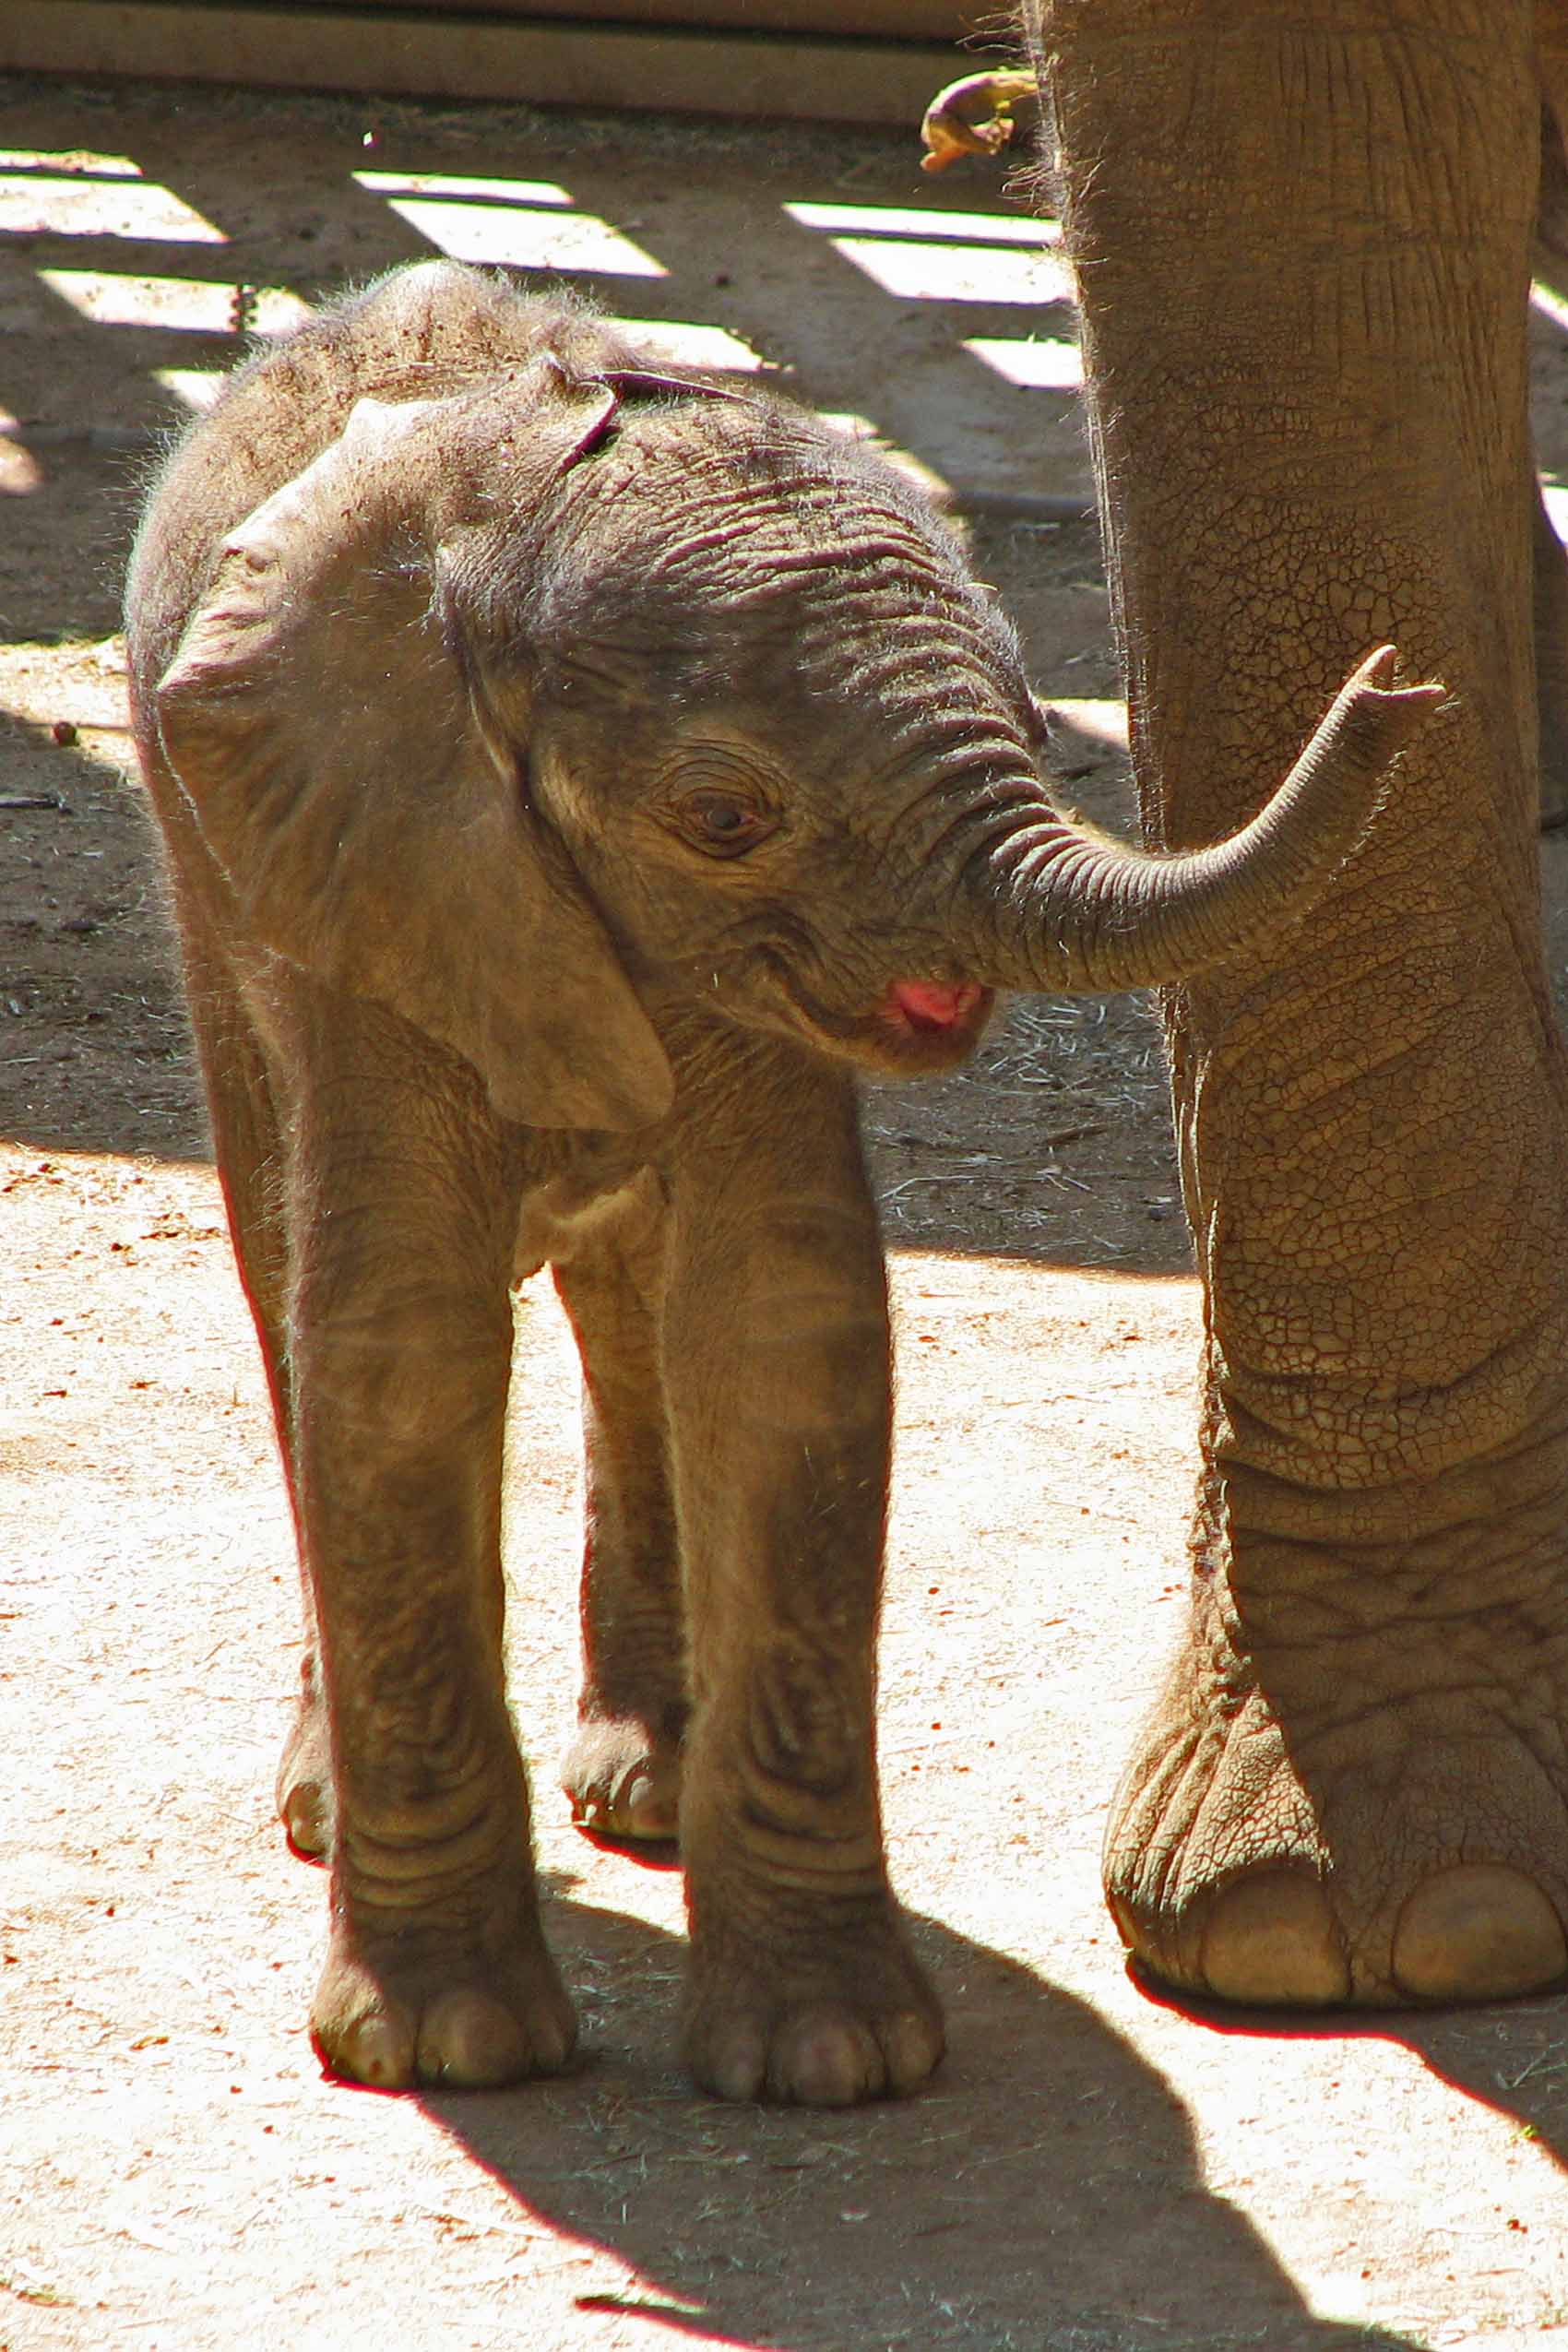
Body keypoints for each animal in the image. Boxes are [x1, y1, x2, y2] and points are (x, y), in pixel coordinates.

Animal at [128, 262, 1438, 2117]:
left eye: (1036, 713)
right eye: (724, 816)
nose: (1398, 683)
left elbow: (780, 1322)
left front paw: (832, 2060)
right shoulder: (382, 865)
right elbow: (397, 1341)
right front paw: (445, 2050)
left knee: (624, 1303)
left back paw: (647, 1791)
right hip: (214, 868)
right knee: (283, 1267)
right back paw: (334, 1809)